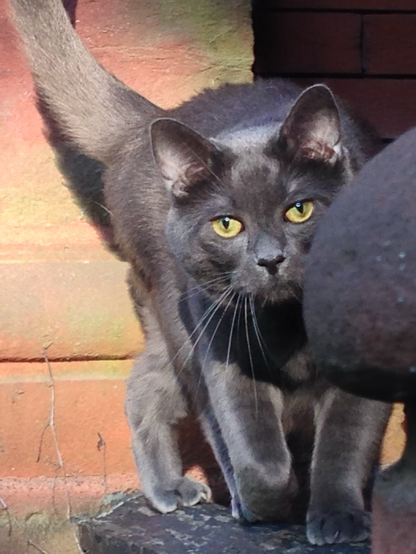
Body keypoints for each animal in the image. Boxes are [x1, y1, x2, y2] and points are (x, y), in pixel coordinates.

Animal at [10, 0, 394, 544]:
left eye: (298, 210)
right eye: (227, 224)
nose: (270, 259)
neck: (287, 322)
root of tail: (151, 120)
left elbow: (345, 442)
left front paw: (337, 518)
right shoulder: (226, 352)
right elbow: (253, 450)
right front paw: (270, 499)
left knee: (146, 384)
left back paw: (172, 488)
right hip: (182, 317)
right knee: (176, 400)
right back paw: (192, 493)